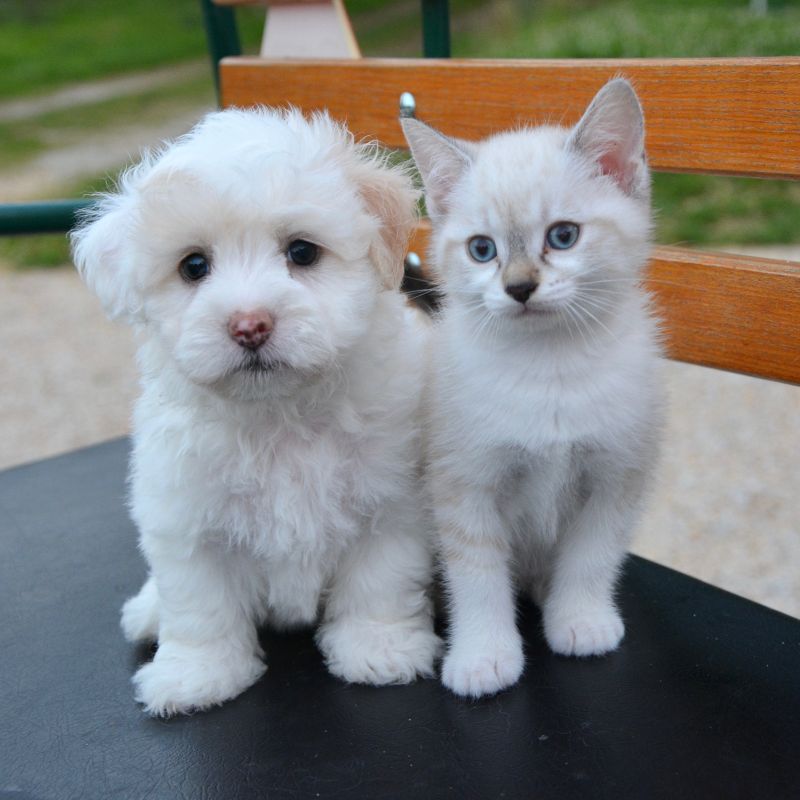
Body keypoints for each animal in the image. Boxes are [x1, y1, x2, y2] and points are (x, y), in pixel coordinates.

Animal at [71, 108, 440, 720]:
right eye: (194, 266)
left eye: (302, 253)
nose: (250, 325)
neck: (279, 416)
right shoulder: (187, 521)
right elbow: (200, 607)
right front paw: (197, 675)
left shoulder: (389, 504)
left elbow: (379, 581)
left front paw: (379, 647)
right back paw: (148, 611)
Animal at [404, 78, 664, 696]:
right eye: (482, 249)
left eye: (562, 237)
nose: (519, 287)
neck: (551, 370)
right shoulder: (464, 482)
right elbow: (477, 576)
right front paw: (483, 655)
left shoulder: (616, 474)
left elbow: (592, 556)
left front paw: (581, 618)